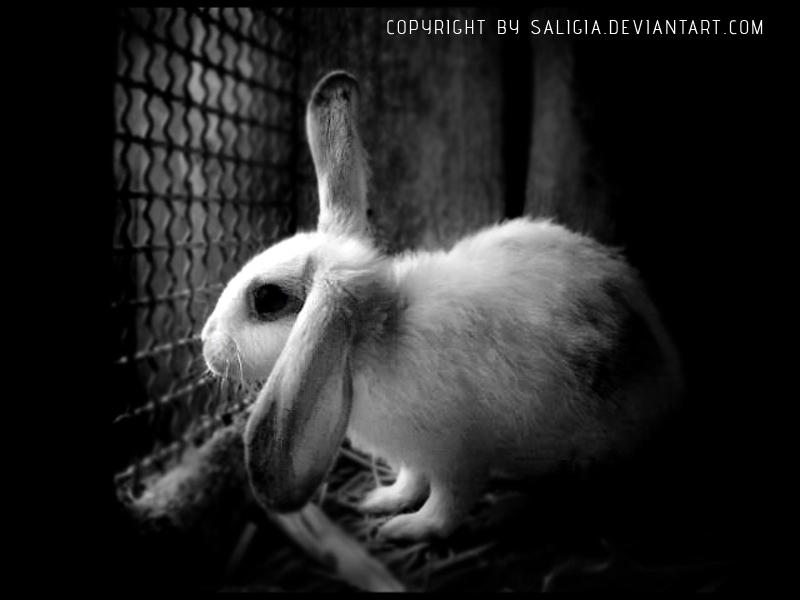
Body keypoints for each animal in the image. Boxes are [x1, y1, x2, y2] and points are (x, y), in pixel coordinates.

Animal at [200, 70, 685, 541]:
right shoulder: (415, 455)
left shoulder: (459, 458)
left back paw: (503, 513)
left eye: (267, 298)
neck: (376, 337)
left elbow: (446, 507)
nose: (205, 342)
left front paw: (406, 530)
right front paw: (381, 501)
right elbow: (411, 481)